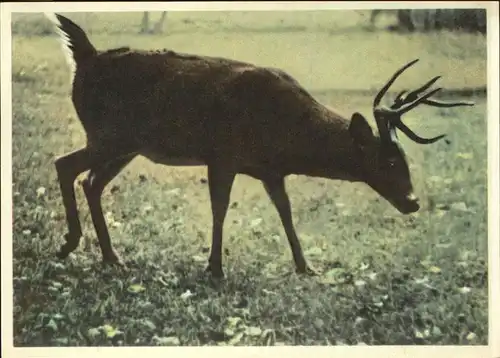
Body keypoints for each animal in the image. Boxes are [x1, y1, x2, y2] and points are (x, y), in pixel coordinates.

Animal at [46, 13, 472, 276]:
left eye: (405, 160)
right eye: (388, 162)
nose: (412, 202)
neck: (285, 134)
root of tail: (85, 57)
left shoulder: (270, 170)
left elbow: (286, 212)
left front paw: (305, 266)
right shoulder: (223, 153)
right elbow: (220, 209)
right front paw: (215, 268)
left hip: (125, 143)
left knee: (90, 181)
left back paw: (110, 256)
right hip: (112, 134)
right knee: (65, 165)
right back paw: (73, 245)